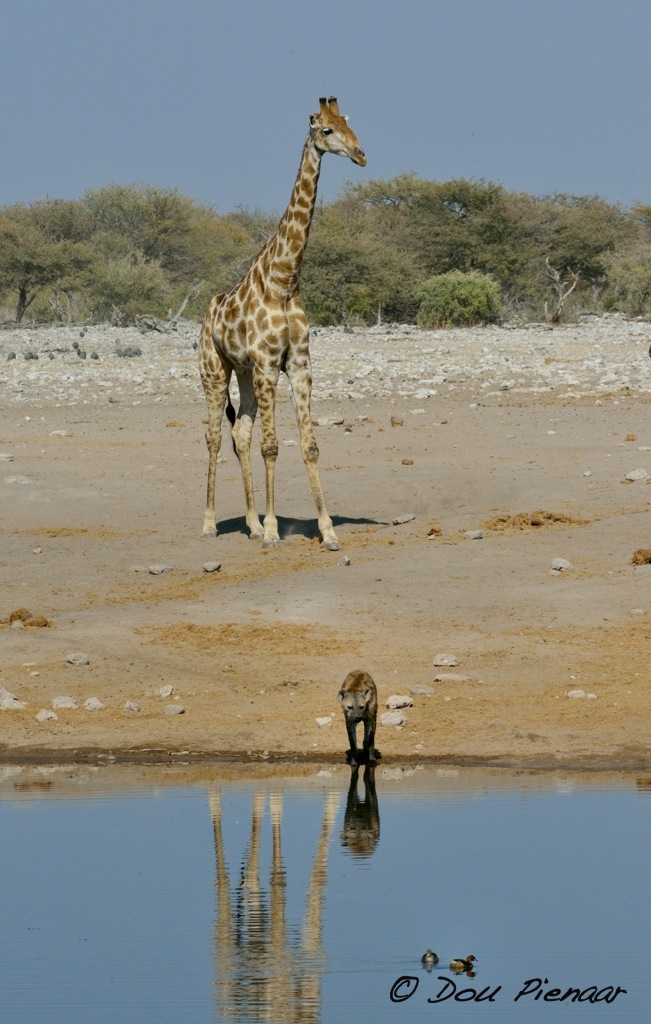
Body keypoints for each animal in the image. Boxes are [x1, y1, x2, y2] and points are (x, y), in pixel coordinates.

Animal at [198, 97, 366, 550]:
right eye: (325, 130)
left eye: (350, 124)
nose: (361, 154)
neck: (285, 280)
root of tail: (205, 317)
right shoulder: (269, 364)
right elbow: (272, 446)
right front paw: (275, 531)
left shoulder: (298, 364)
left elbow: (309, 445)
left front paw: (327, 531)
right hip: (214, 371)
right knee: (215, 436)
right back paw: (210, 523)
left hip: (243, 373)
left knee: (240, 433)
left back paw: (252, 524)